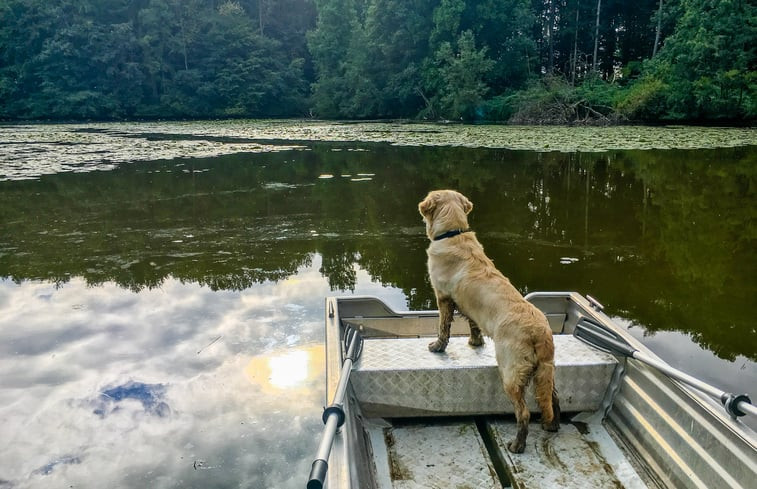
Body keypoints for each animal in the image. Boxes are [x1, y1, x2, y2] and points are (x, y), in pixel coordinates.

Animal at [416, 189, 560, 452]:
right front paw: (475, 342)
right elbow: (473, 325)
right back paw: (551, 425)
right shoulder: (469, 306)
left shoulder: (442, 297)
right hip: (545, 370)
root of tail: (540, 332)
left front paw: (437, 346)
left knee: (523, 413)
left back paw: (517, 445)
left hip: (510, 372)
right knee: (551, 398)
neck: (452, 233)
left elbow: (443, 327)